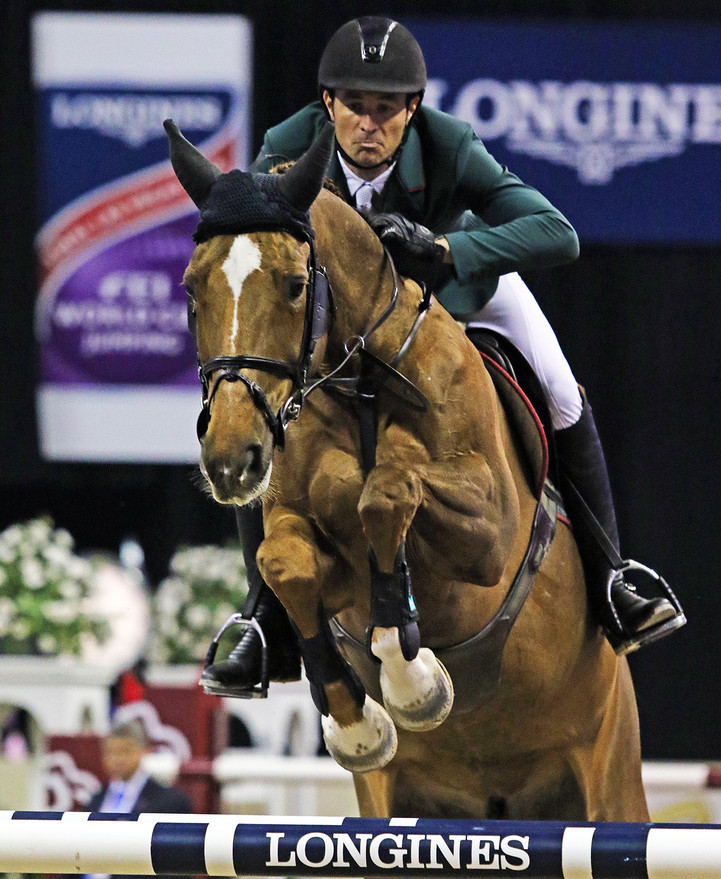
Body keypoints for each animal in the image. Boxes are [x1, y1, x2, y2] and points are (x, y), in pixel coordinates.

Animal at [166, 120, 648, 820]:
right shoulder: (295, 521)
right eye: (191, 288)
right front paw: (358, 725)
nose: (231, 459)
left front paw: (411, 677)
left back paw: (633, 600)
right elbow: (284, 562)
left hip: (610, 778)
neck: (360, 384)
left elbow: (387, 493)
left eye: (293, 284)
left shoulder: (490, 536)